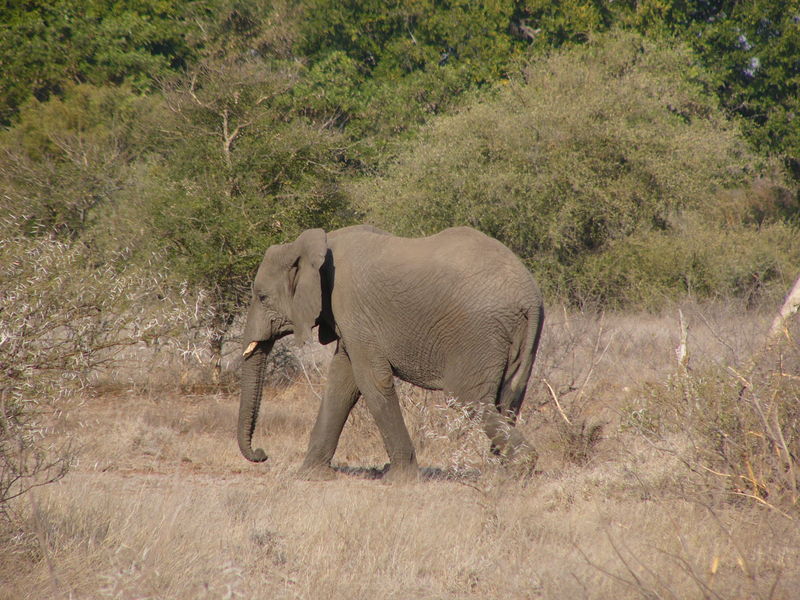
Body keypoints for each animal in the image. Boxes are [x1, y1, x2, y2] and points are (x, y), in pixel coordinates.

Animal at [238, 225, 544, 482]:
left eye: (262, 297)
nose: (262, 454)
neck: (318, 244)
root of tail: (529, 298)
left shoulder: (352, 308)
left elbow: (371, 380)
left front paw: (399, 479)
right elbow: (341, 384)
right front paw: (311, 476)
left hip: (477, 333)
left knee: (467, 399)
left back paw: (516, 471)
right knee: (508, 400)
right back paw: (502, 472)